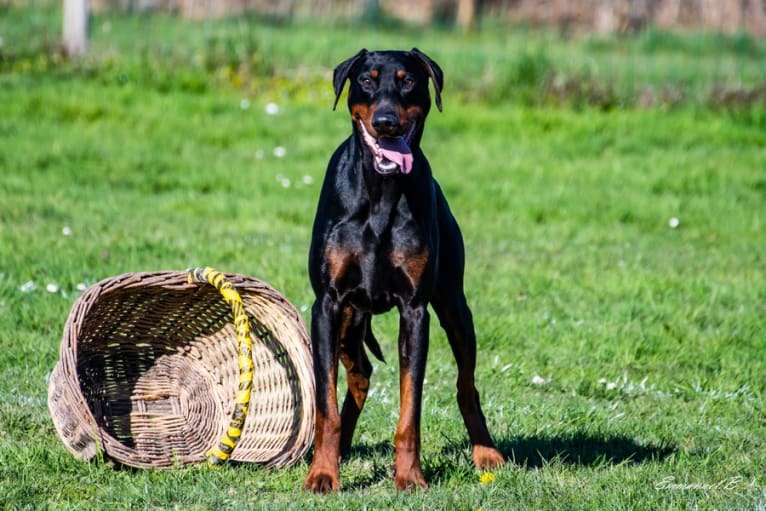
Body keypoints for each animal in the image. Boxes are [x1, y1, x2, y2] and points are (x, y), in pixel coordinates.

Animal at [304, 50, 508, 494]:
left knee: (466, 385)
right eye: (366, 79)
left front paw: (410, 476)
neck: (381, 191)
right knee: (359, 374)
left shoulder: (415, 310)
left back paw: (487, 453)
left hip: (455, 308)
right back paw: (339, 450)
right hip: (348, 317)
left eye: (408, 81)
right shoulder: (327, 304)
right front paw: (323, 474)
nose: (385, 121)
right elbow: (326, 404)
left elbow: (410, 408)